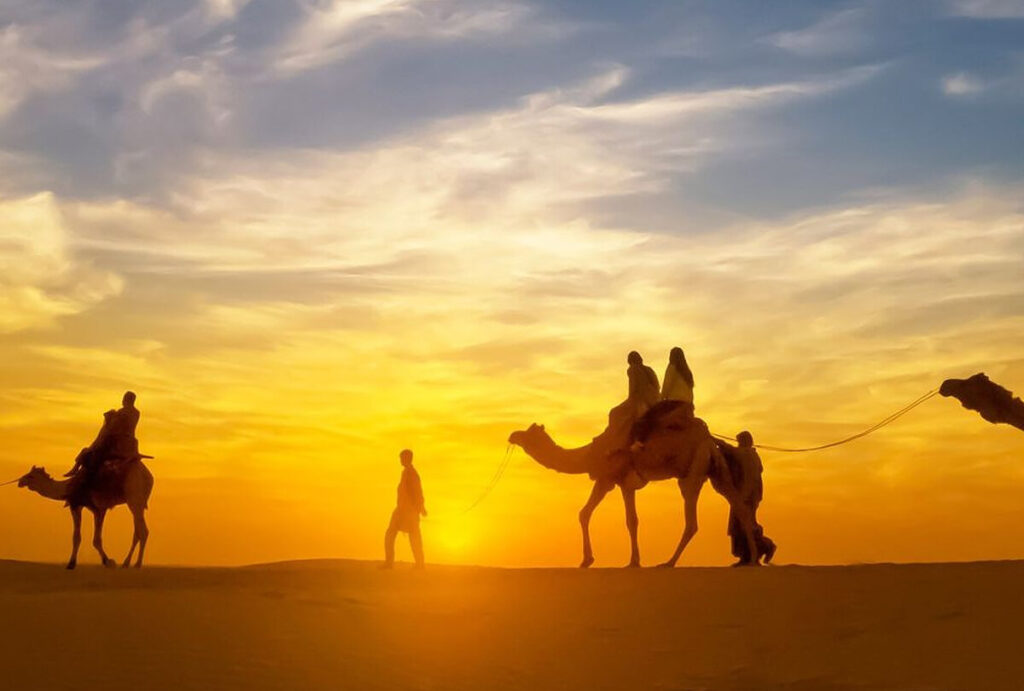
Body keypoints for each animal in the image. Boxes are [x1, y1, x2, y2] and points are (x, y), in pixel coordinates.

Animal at [18, 462, 153, 569]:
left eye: (30, 476)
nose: (20, 481)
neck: (69, 487)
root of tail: (148, 476)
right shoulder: (80, 506)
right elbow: (77, 537)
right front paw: (72, 563)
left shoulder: (95, 508)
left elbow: (95, 539)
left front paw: (108, 562)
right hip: (137, 503)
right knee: (138, 531)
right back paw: (127, 563)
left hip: (134, 498)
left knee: (142, 531)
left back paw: (137, 564)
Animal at [512, 405, 761, 569]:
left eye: (528, 433)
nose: (512, 435)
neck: (589, 454)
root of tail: (709, 438)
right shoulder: (620, 483)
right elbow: (626, 520)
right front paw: (628, 561)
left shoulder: (611, 479)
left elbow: (592, 515)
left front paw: (592, 560)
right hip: (717, 472)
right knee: (740, 506)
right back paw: (753, 560)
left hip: (692, 471)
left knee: (692, 520)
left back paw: (668, 562)